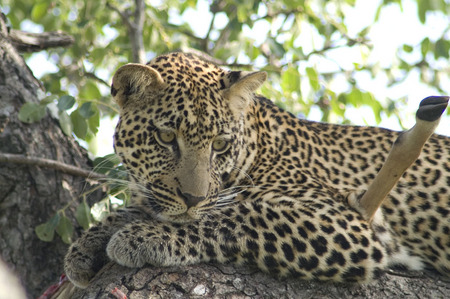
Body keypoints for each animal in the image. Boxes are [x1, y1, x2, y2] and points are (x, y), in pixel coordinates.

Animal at [65, 52, 448, 290]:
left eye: (220, 144)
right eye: (165, 137)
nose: (192, 198)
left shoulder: (345, 222)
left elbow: (238, 216)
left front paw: (143, 237)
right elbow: (137, 209)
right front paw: (85, 248)